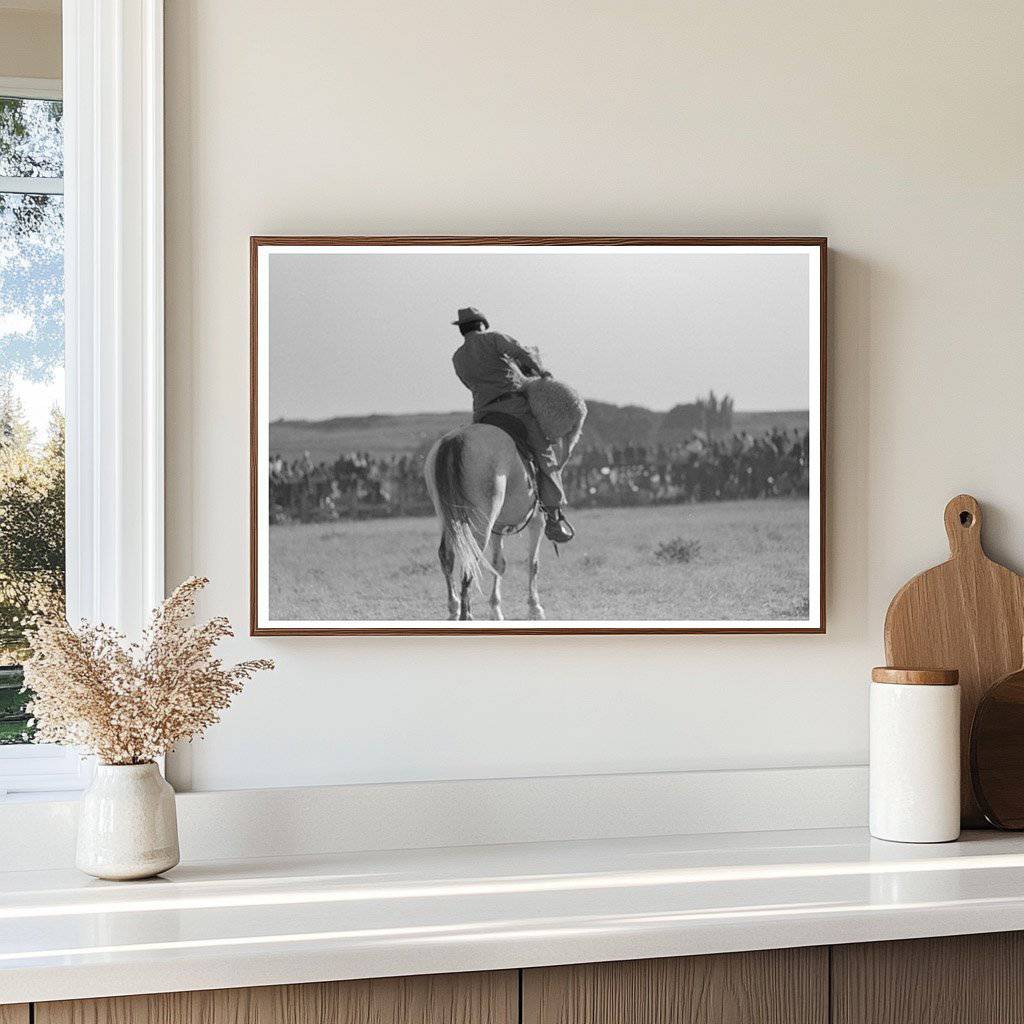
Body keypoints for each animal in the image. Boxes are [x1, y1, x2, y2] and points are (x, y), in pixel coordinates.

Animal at [421, 425, 544, 618]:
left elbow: (499, 563)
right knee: (470, 558)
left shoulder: (497, 528)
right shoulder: (537, 522)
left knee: (446, 556)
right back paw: (466, 615)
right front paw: (534, 607)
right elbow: (533, 563)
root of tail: (457, 438)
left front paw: (496, 609)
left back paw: (454, 608)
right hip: (480, 524)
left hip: (449, 519)